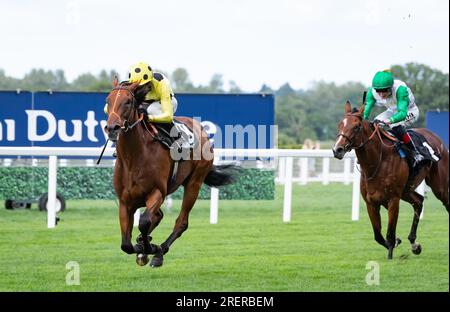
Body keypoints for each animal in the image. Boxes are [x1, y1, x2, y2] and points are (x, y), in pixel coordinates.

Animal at [104, 77, 239, 266]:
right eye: (108, 101)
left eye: (128, 101)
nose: (112, 128)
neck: (134, 158)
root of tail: (201, 129)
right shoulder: (125, 201)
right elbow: (126, 244)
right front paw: (141, 246)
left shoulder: (157, 192)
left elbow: (144, 222)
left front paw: (150, 249)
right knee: (158, 216)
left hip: (194, 183)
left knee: (181, 222)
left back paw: (159, 253)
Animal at [332, 101, 448, 260]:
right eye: (340, 124)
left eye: (356, 126)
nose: (337, 149)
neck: (378, 162)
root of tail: (436, 137)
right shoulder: (371, 202)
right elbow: (378, 235)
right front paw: (398, 242)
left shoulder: (393, 200)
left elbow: (389, 233)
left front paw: (390, 256)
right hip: (406, 190)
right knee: (418, 201)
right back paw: (414, 243)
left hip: (439, 186)